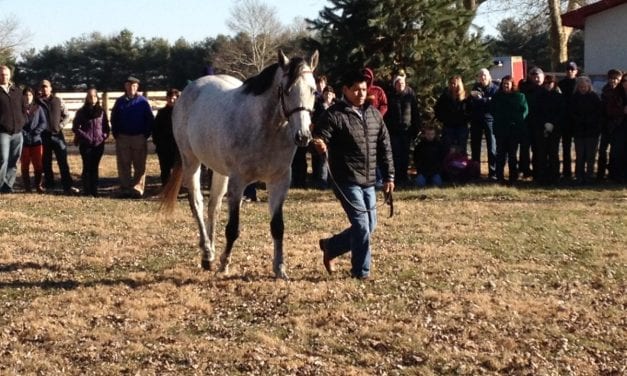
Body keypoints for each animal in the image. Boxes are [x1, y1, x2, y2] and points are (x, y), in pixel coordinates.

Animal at [162, 50, 318, 280]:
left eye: (313, 90)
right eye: (286, 90)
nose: (303, 136)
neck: (265, 128)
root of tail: (190, 90)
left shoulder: (279, 181)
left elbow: (277, 226)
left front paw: (280, 268)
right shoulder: (238, 182)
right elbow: (233, 228)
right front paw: (224, 265)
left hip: (219, 171)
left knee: (214, 206)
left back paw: (211, 251)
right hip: (192, 162)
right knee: (197, 203)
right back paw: (207, 254)